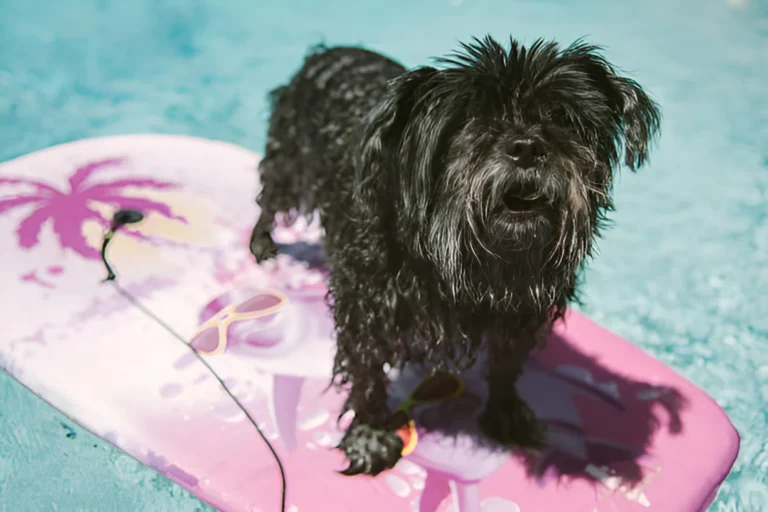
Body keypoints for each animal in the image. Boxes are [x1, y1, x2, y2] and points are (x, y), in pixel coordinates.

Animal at [250, 35, 660, 476]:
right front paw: (369, 435)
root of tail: (328, 50)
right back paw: (261, 243)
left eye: (562, 117)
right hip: (288, 157)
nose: (527, 147)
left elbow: (507, 363)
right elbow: (366, 369)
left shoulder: (522, 310)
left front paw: (506, 412)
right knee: (270, 198)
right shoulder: (366, 303)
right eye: (470, 119)